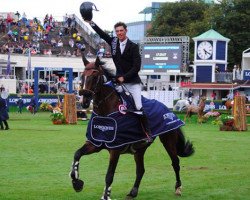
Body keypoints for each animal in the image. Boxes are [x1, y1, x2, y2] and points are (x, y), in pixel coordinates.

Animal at [69, 55, 195, 200]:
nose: (84, 102)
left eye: (95, 76)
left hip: (168, 140)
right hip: (139, 149)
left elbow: (109, 175)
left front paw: (106, 196)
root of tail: (168, 109)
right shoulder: (96, 143)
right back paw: (133, 192)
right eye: (82, 76)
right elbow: (77, 154)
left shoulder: (115, 149)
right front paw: (76, 182)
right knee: (141, 169)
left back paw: (178, 188)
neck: (105, 112)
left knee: (175, 162)